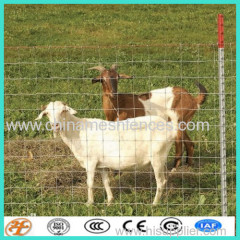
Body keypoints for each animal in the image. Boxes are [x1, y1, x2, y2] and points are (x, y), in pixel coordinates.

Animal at [35, 101, 178, 204]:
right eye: (47, 113)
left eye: (63, 111)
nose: (55, 126)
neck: (77, 131)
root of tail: (170, 128)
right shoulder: (102, 165)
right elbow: (106, 182)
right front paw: (110, 201)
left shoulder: (91, 162)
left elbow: (90, 183)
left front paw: (89, 203)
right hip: (161, 158)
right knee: (165, 179)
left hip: (157, 157)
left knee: (160, 182)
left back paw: (154, 204)